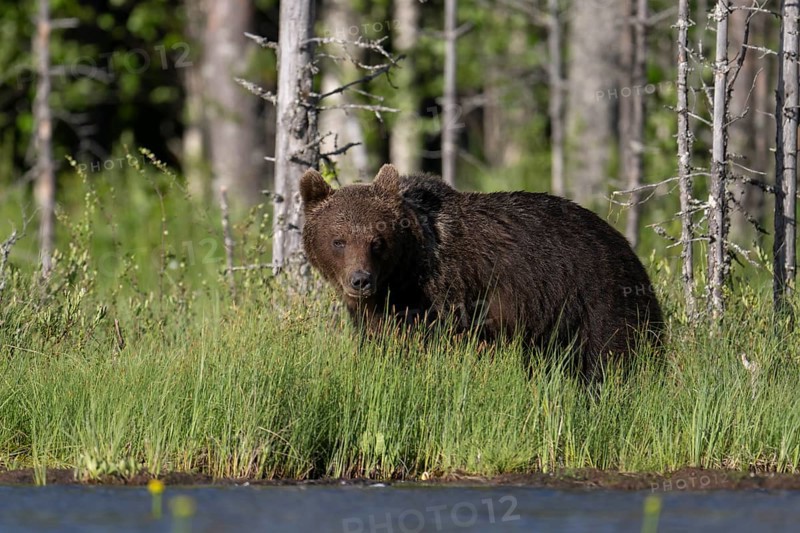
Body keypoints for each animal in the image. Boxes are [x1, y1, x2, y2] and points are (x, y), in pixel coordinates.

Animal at [300, 164, 663, 379]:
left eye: (378, 241)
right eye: (338, 240)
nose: (361, 280)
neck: (405, 275)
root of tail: (626, 245)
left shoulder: (451, 294)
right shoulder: (379, 312)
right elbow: (381, 342)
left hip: (598, 298)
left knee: (612, 355)